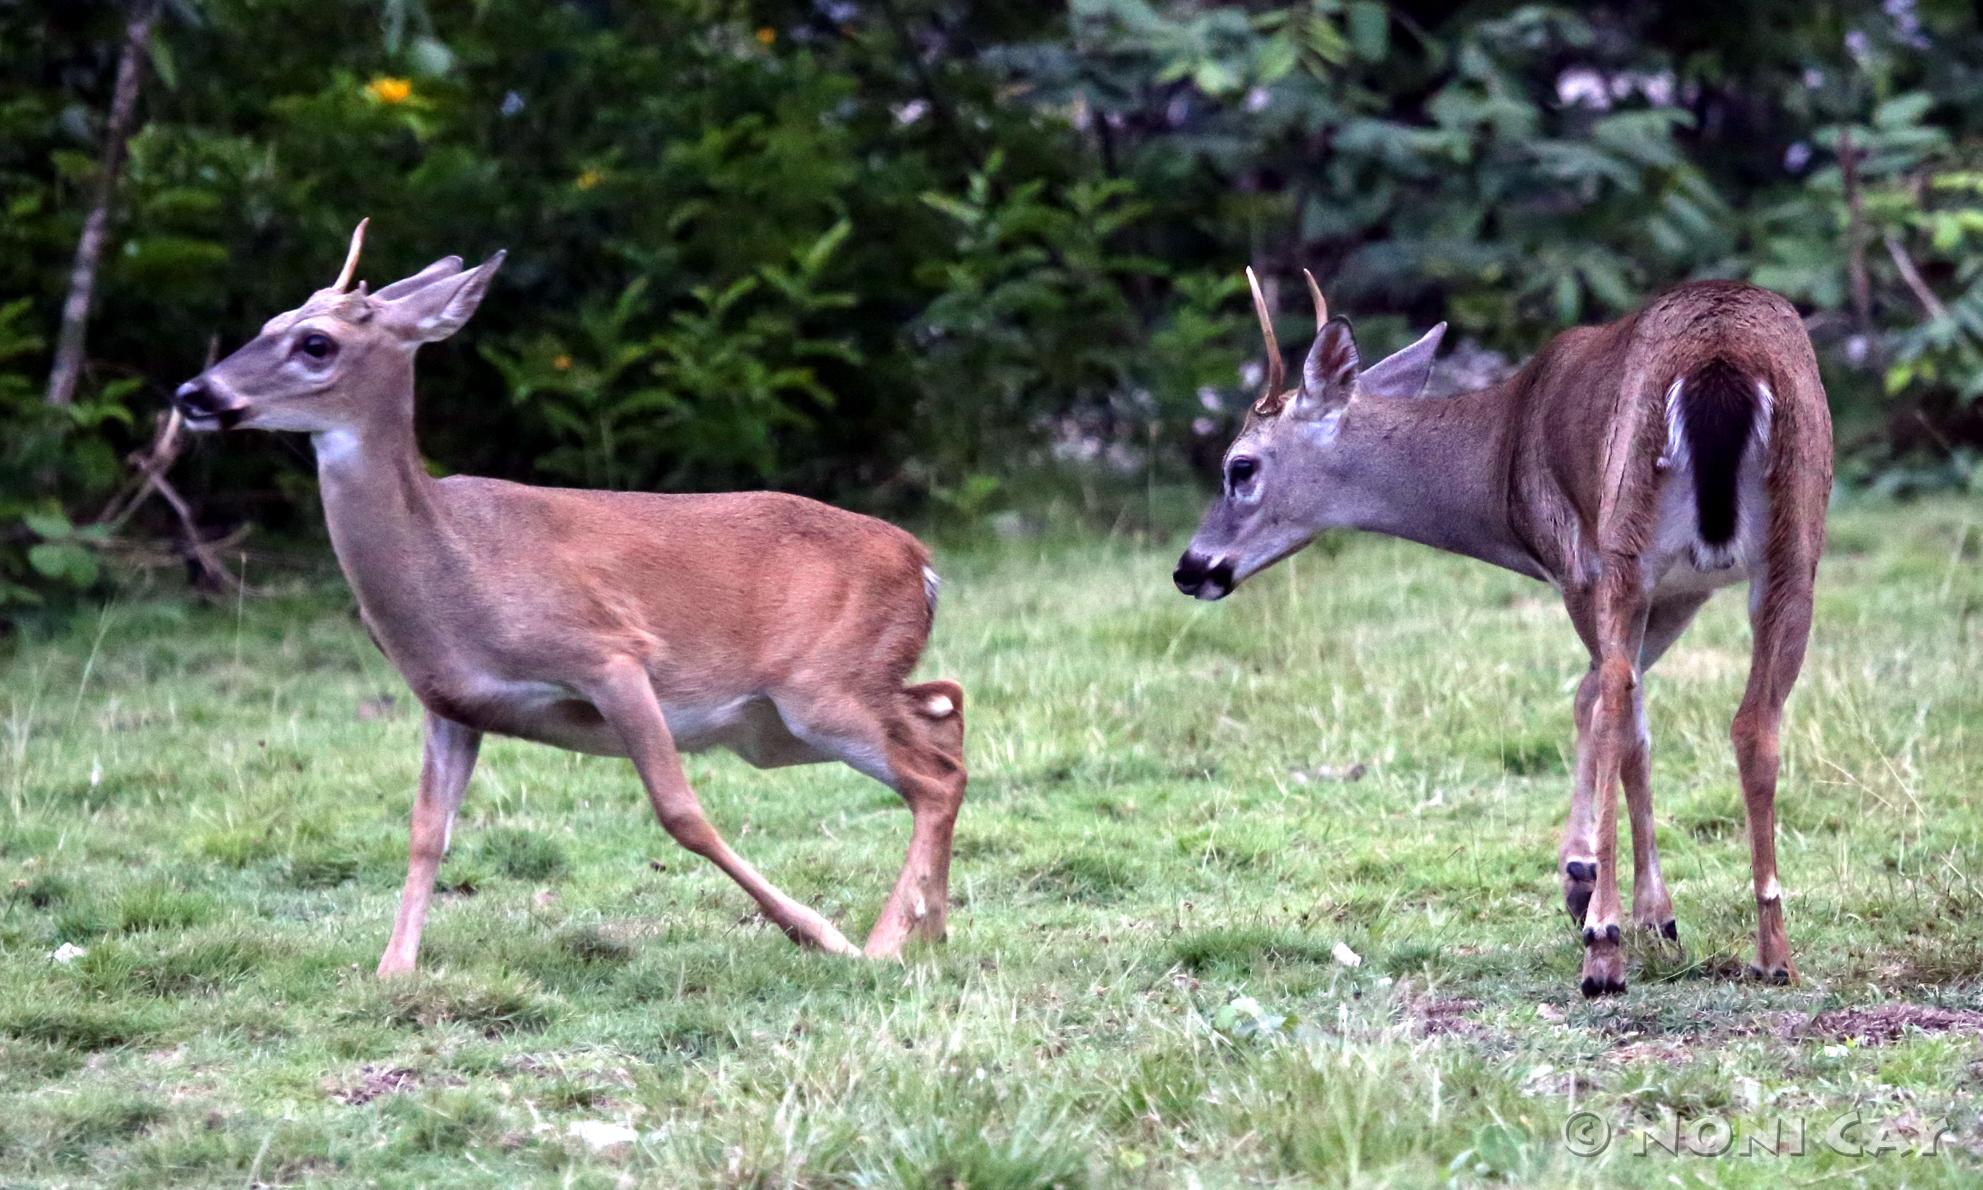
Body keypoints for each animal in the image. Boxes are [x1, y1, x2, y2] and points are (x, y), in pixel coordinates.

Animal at [174, 225, 963, 975]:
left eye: (316, 342)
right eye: (268, 322)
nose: (194, 394)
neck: (452, 575)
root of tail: (922, 564)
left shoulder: (609, 652)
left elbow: (680, 812)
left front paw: (820, 934)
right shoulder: (448, 700)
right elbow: (427, 832)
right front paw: (393, 970)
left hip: (817, 690)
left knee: (932, 775)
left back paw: (884, 943)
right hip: (784, 722)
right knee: (945, 717)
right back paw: (929, 930)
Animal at [1166, 267, 1832, 995]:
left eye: (1240, 467)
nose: (1190, 568)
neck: (1501, 461)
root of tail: (1721, 365)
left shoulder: (1581, 565)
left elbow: (1603, 707)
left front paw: (1606, 894)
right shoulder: (1684, 589)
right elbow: (1628, 716)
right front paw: (1639, 907)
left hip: (1627, 531)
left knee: (1619, 701)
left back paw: (1604, 948)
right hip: (1795, 544)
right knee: (1752, 721)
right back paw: (1773, 952)